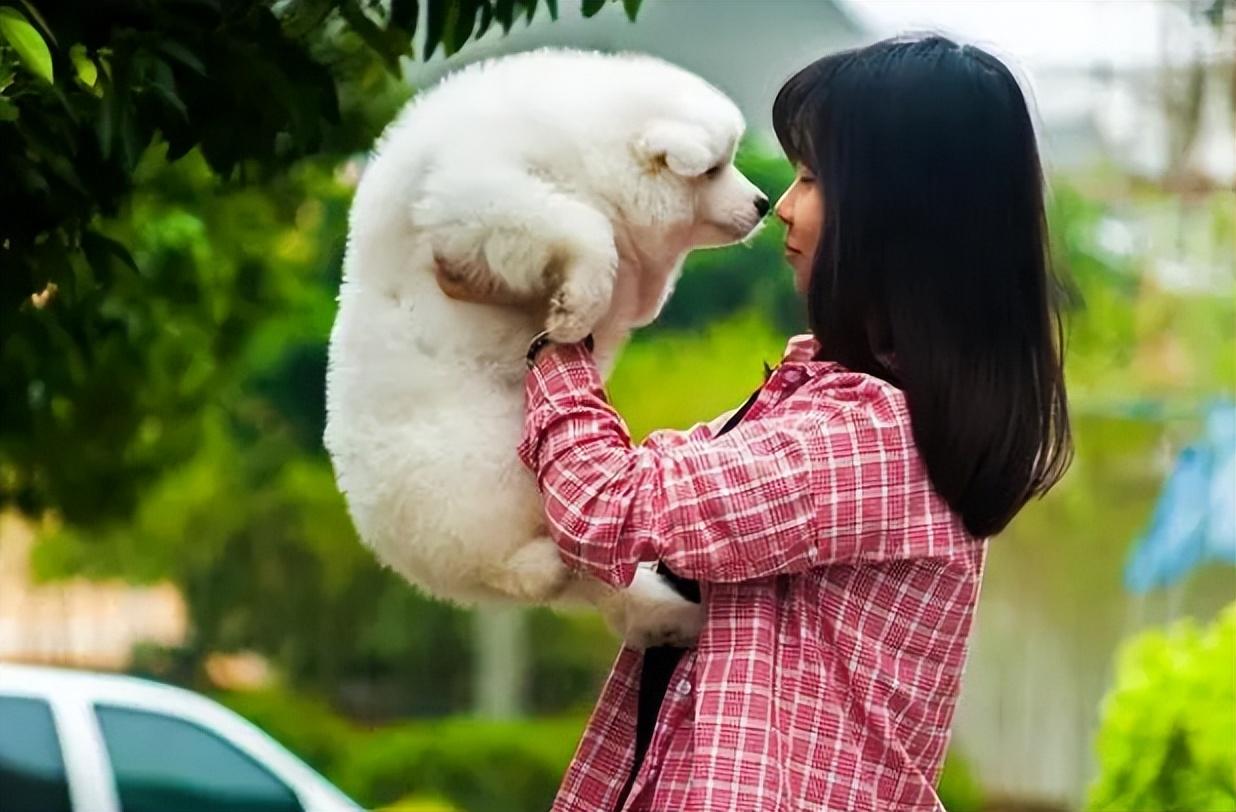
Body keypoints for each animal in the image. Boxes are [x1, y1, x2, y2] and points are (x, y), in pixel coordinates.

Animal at [326, 49, 771, 647]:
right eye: (712, 170)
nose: (764, 202)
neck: (589, 152)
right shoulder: (482, 193)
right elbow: (586, 228)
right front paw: (574, 310)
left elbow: (634, 274)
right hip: (476, 471)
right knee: (509, 563)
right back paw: (548, 569)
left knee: (605, 586)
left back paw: (673, 618)